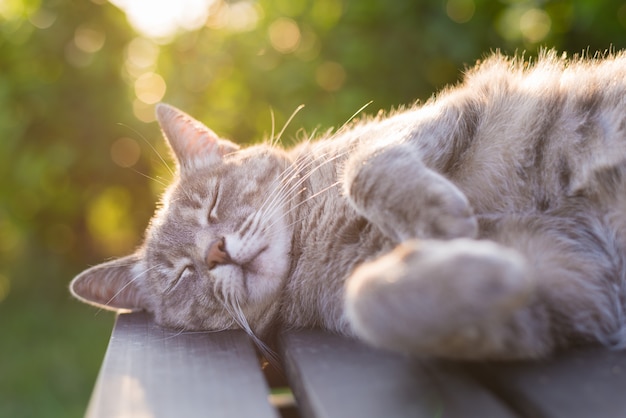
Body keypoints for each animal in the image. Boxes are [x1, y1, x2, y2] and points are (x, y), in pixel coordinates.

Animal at [69, 49, 626, 360]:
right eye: (181, 275)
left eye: (212, 204)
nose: (215, 252)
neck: (314, 242)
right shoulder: (566, 287)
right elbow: (373, 301)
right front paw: (478, 268)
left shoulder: (440, 115)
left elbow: (363, 167)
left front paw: (436, 218)